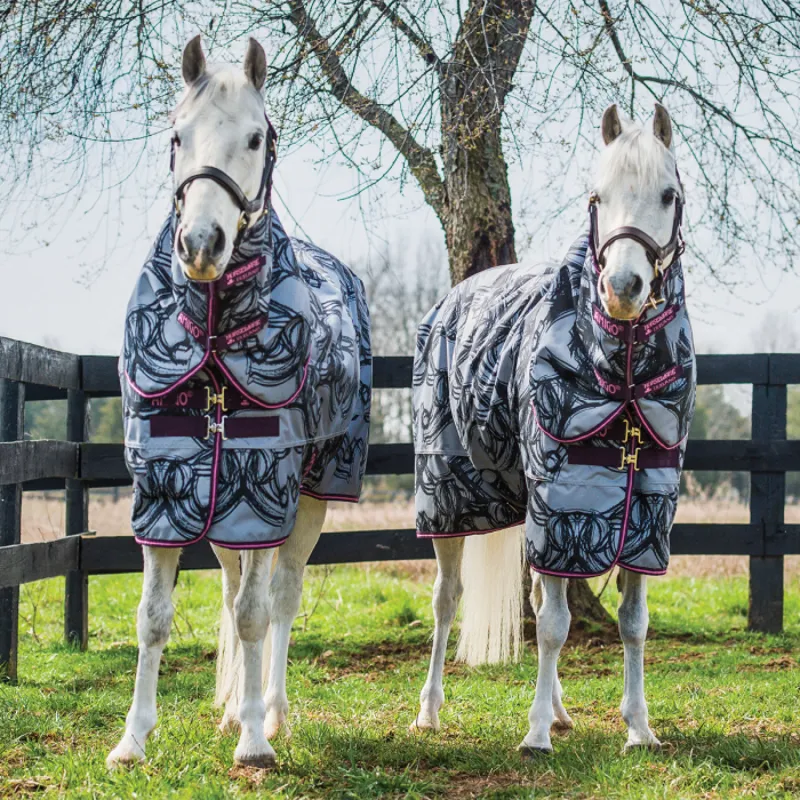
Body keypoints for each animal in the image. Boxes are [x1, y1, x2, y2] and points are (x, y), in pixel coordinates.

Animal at [107, 36, 371, 770]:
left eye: (256, 138)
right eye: (177, 134)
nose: (201, 244)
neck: (215, 331)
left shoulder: (264, 488)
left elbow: (256, 615)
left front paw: (255, 741)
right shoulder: (164, 489)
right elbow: (154, 616)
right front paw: (133, 739)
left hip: (304, 498)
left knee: (279, 598)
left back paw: (270, 711)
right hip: (225, 506)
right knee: (233, 591)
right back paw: (233, 709)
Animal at [411, 103, 696, 755]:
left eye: (668, 195)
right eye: (597, 195)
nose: (623, 289)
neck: (621, 370)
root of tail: (457, 297)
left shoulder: (641, 517)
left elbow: (632, 624)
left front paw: (639, 727)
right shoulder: (562, 508)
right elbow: (553, 627)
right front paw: (535, 733)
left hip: (532, 510)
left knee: (539, 594)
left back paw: (564, 712)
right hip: (448, 500)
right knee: (447, 601)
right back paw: (430, 711)